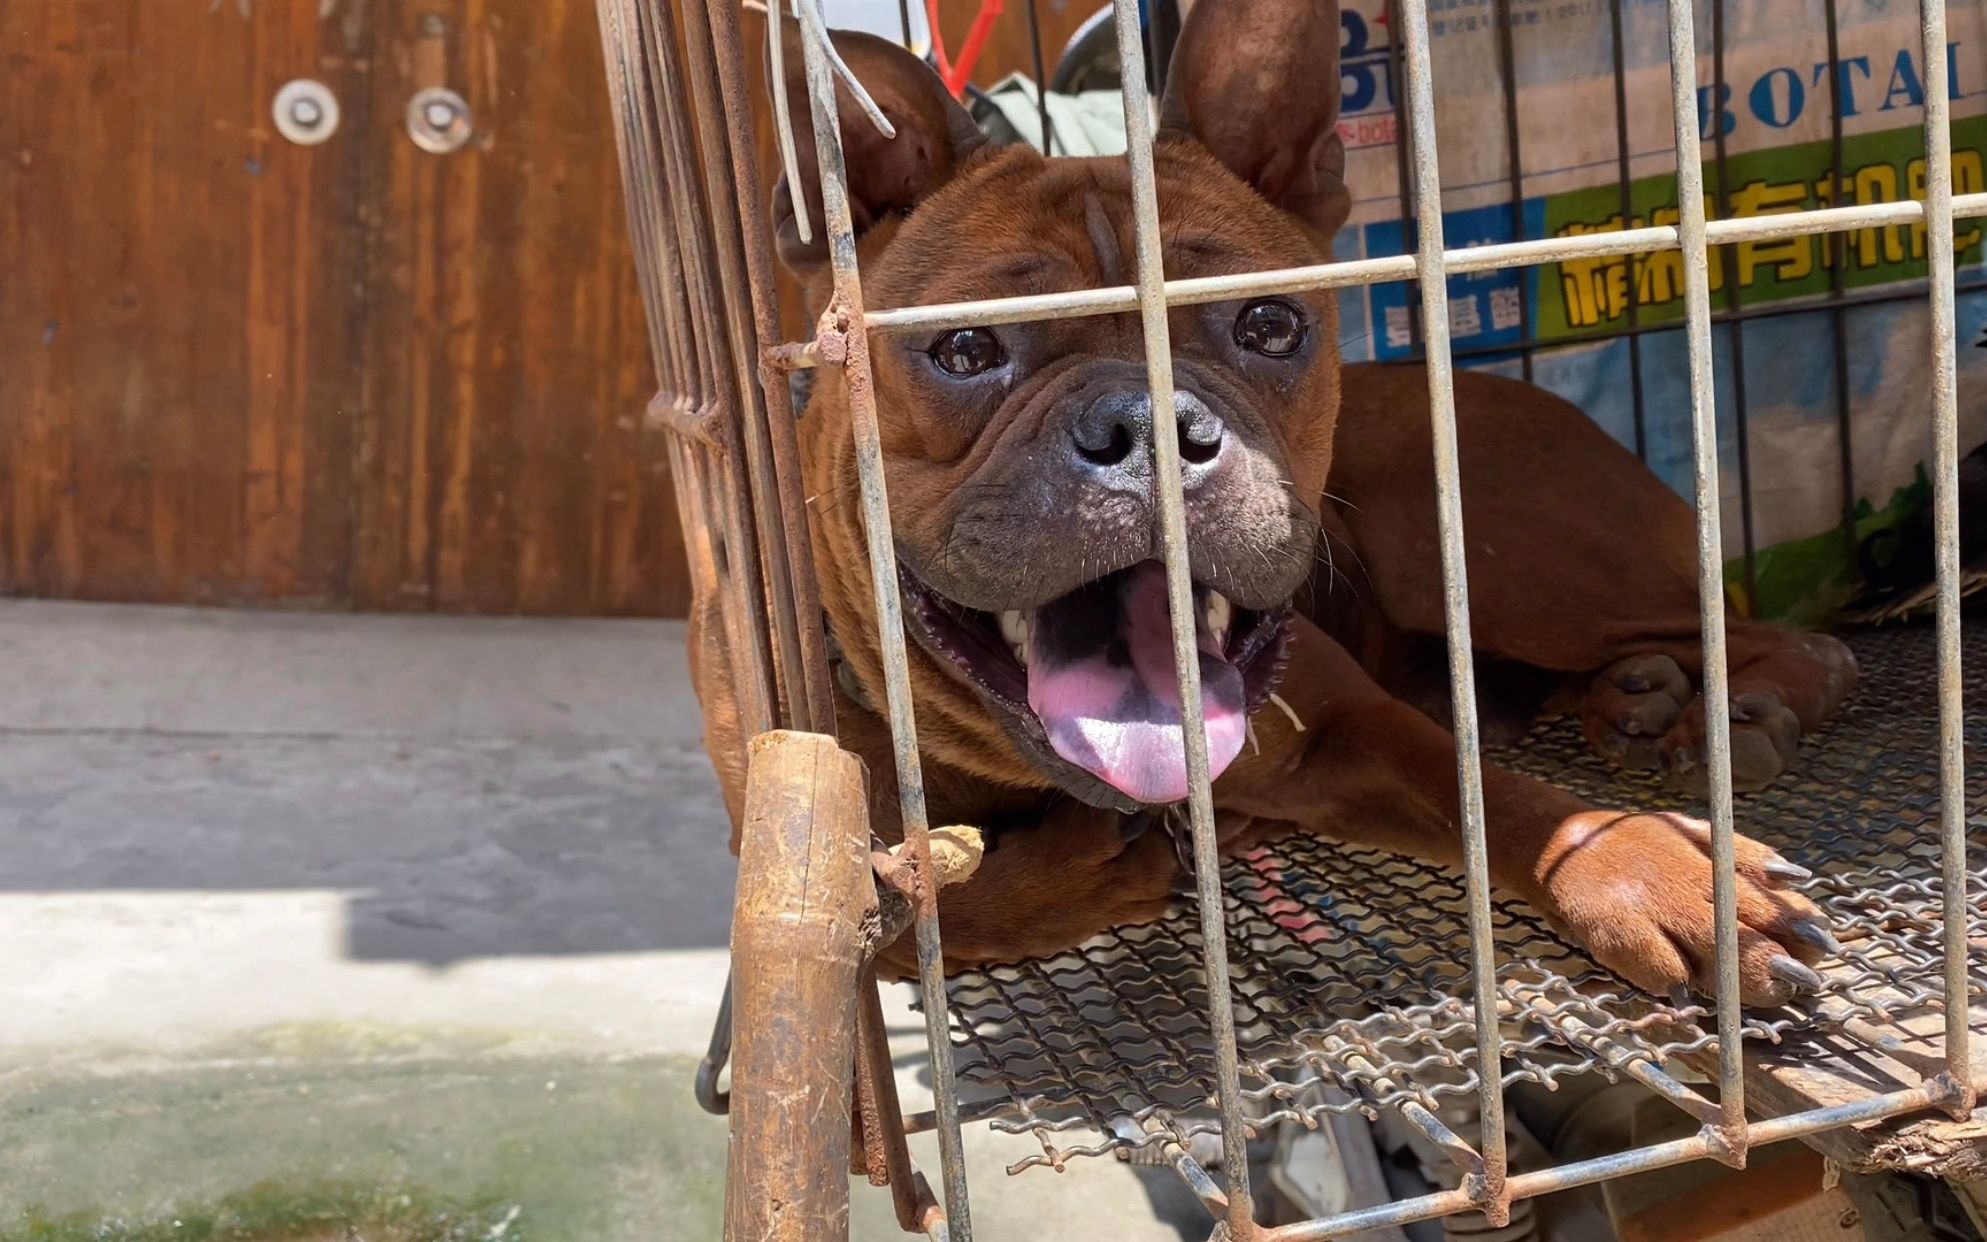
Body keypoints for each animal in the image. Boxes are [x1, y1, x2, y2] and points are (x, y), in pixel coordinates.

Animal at [691, 0, 1851, 1001]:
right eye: (967, 350)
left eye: (1268, 326)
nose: (1147, 426)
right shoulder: (788, 860)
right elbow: (912, 914)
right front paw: (1071, 875)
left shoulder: (1350, 728)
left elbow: (1489, 793)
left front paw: (1651, 873)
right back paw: (1638, 695)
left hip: (1498, 556)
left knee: (1769, 628)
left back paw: (1748, 703)